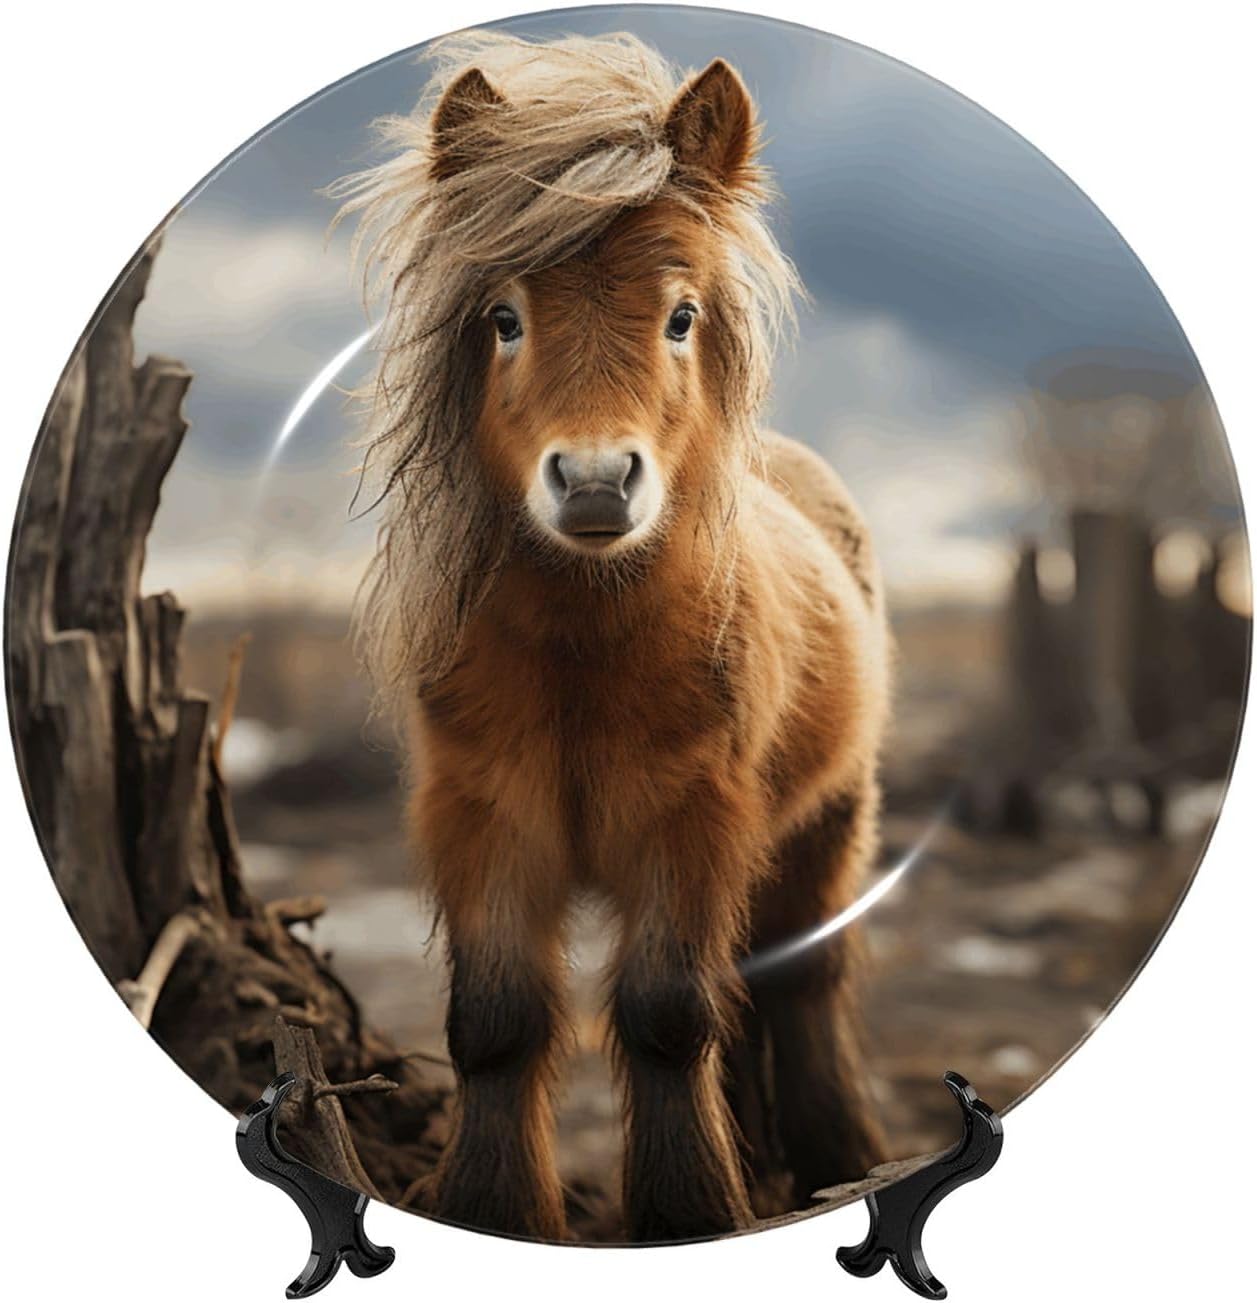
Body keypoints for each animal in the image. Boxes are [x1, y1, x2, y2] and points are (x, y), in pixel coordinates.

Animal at [334, 30, 890, 1243]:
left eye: (680, 316)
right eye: (503, 317)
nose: (594, 481)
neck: (583, 653)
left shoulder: (693, 818)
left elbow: (667, 1015)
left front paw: (692, 1210)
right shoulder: (483, 814)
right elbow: (496, 1021)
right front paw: (497, 1211)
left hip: (828, 822)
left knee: (804, 983)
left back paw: (837, 1160)